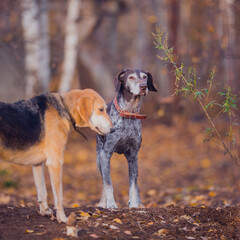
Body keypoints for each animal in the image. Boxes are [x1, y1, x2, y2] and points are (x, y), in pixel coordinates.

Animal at [95, 68, 158, 208]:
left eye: (145, 77)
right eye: (131, 77)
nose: (143, 86)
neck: (129, 112)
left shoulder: (133, 155)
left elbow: (133, 185)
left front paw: (134, 204)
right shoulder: (105, 154)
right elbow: (108, 184)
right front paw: (111, 204)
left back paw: (139, 203)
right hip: (99, 159)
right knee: (103, 182)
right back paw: (102, 203)